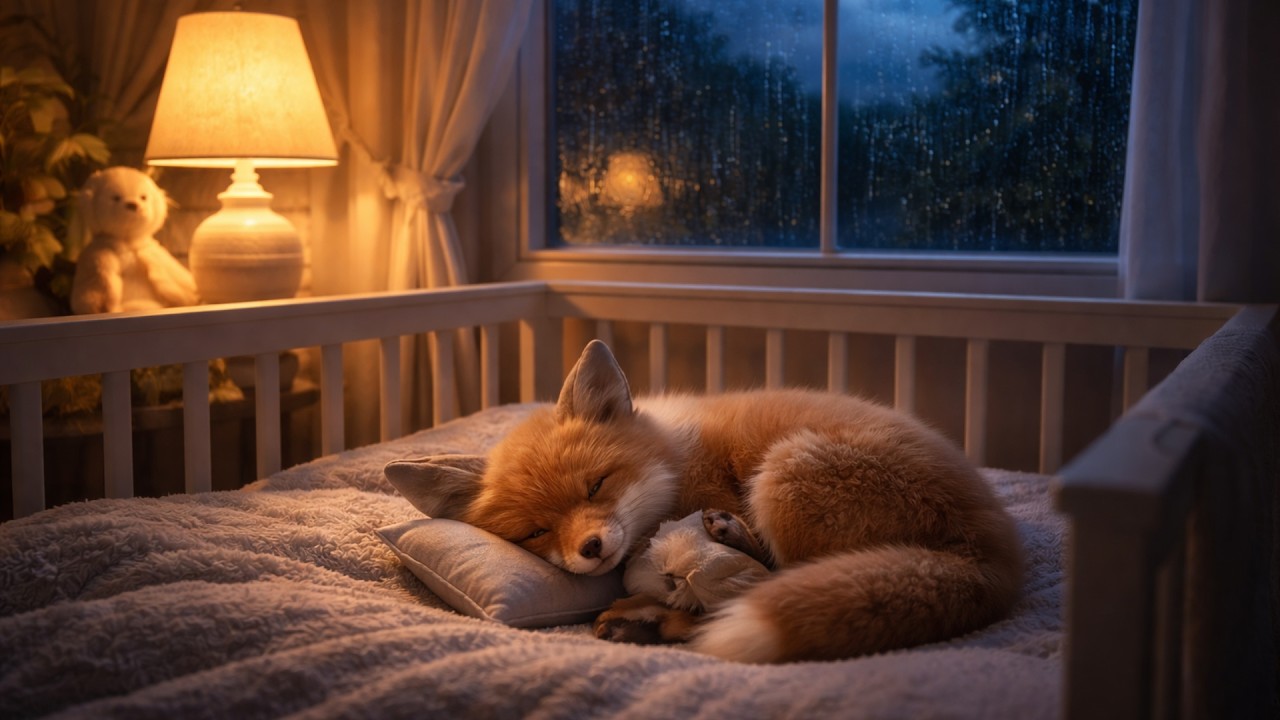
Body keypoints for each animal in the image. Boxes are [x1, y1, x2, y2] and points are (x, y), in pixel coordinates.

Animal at [461, 339, 1024, 663]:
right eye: (537, 532)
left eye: (596, 486)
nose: (592, 548)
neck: (676, 455)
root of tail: (996, 555)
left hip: (784, 474)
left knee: (763, 584)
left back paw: (656, 615)